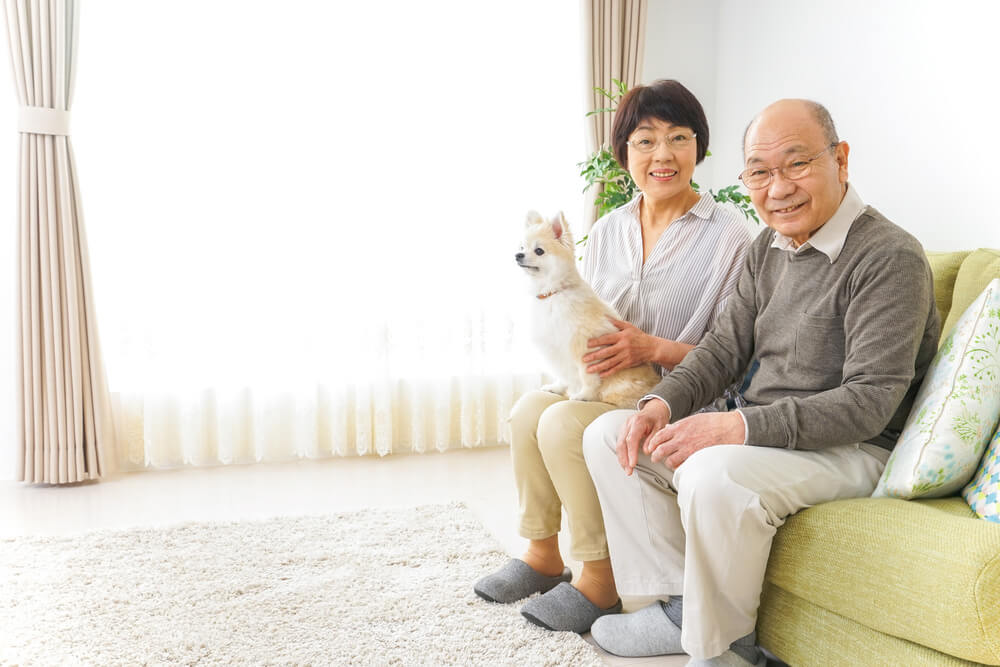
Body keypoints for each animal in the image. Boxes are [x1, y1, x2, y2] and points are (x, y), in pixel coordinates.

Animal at [516, 210, 664, 408]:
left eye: (539, 251)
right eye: (522, 247)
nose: (518, 255)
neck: (553, 293)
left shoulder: (585, 348)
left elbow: (588, 377)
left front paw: (584, 395)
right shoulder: (557, 349)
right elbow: (562, 373)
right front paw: (557, 388)